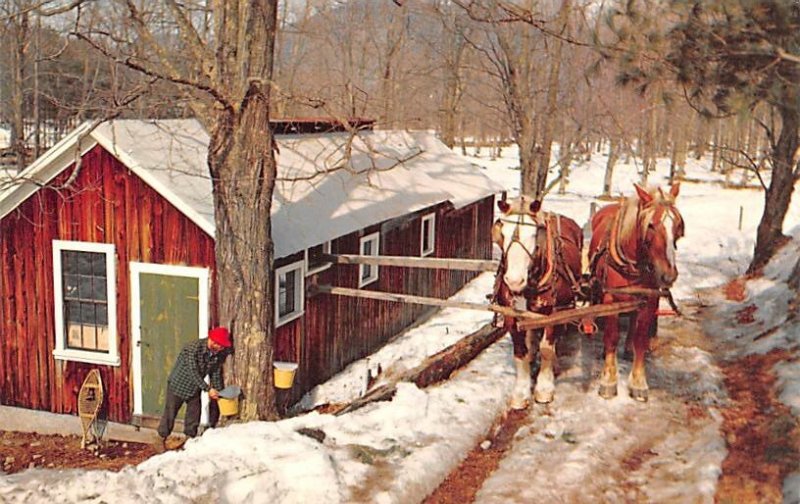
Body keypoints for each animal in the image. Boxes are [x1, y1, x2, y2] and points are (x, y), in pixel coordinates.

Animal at [494, 196, 580, 410]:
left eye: (533, 234)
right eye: (503, 233)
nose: (514, 281)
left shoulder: (552, 314)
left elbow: (547, 349)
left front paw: (544, 388)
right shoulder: (512, 315)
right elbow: (520, 351)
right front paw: (521, 392)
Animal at [588, 184, 680, 402]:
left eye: (678, 225)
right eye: (651, 225)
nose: (668, 275)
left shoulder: (649, 298)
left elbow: (641, 339)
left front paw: (638, 382)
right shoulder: (610, 298)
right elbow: (611, 337)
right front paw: (608, 380)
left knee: (632, 319)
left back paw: (628, 347)